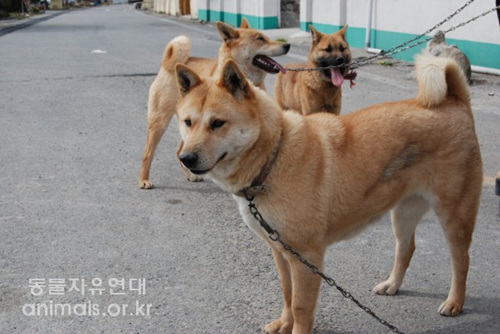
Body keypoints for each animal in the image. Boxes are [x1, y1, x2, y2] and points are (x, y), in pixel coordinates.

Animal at [139, 18, 292, 190]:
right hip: (160, 122)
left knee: (179, 152)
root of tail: (168, 63)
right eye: (260, 39)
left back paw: (190, 174)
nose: (287, 45)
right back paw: (144, 179)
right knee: (148, 153)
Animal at [173, 52, 480, 334]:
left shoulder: (306, 256)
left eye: (217, 123)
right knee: (406, 249)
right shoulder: (280, 251)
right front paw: (284, 323)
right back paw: (392, 284)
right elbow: (287, 293)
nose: (186, 158)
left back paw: (454, 302)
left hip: (454, 217)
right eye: (188, 122)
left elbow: (301, 306)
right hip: (402, 214)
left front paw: (295, 327)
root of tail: (455, 101)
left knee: (462, 261)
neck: (274, 156)